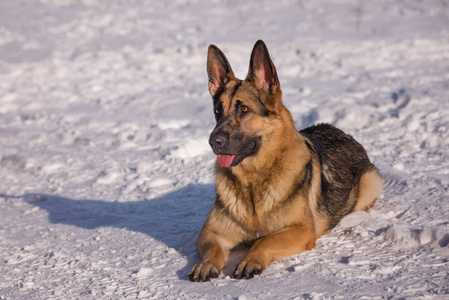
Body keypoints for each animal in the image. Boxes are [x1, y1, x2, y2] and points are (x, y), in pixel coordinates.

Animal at [188, 39, 382, 282]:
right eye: (217, 110)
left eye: (244, 109)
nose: (214, 141)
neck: (253, 182)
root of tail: (342, 132)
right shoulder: (211, 233)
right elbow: (213, 249)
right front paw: (206, 264)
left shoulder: (301, 230)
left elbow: (264, 240)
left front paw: (250, 259)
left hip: (370, 181)